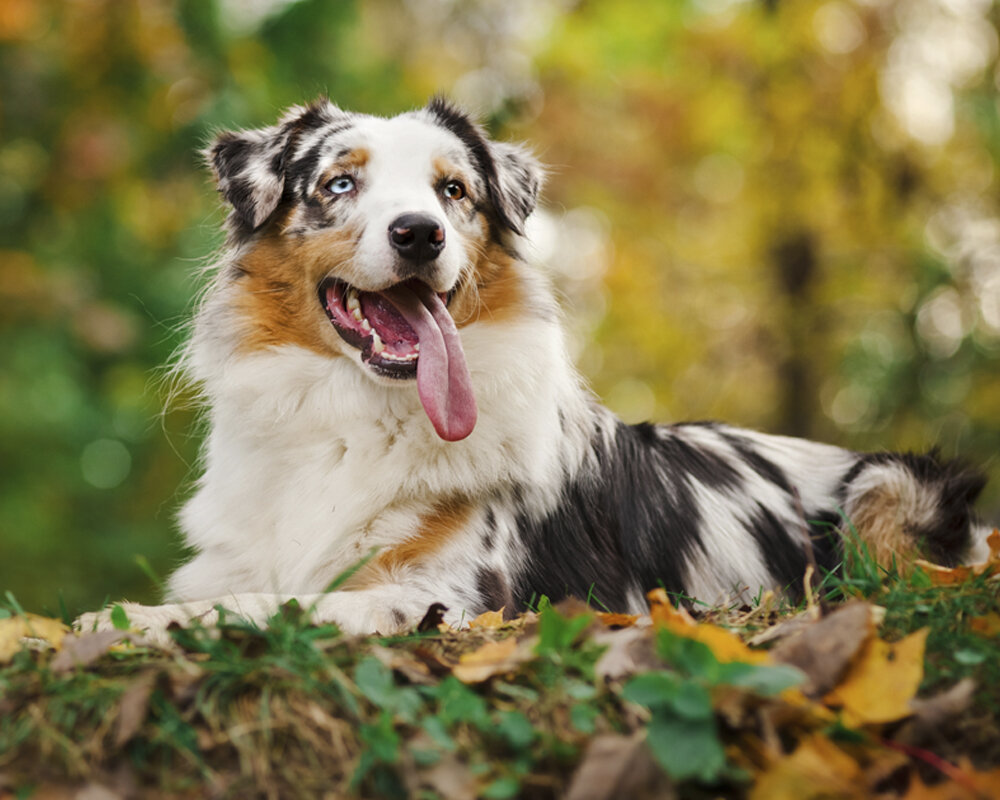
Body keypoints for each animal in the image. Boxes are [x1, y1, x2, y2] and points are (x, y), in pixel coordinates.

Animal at [80, 98, 992, 636]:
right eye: (338, 184)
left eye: (454, 191)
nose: (419, 233)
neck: (356, 414)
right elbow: (240, 589)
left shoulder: (456, 597)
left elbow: (281, 603)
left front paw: (117, 617)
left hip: (890, 488)